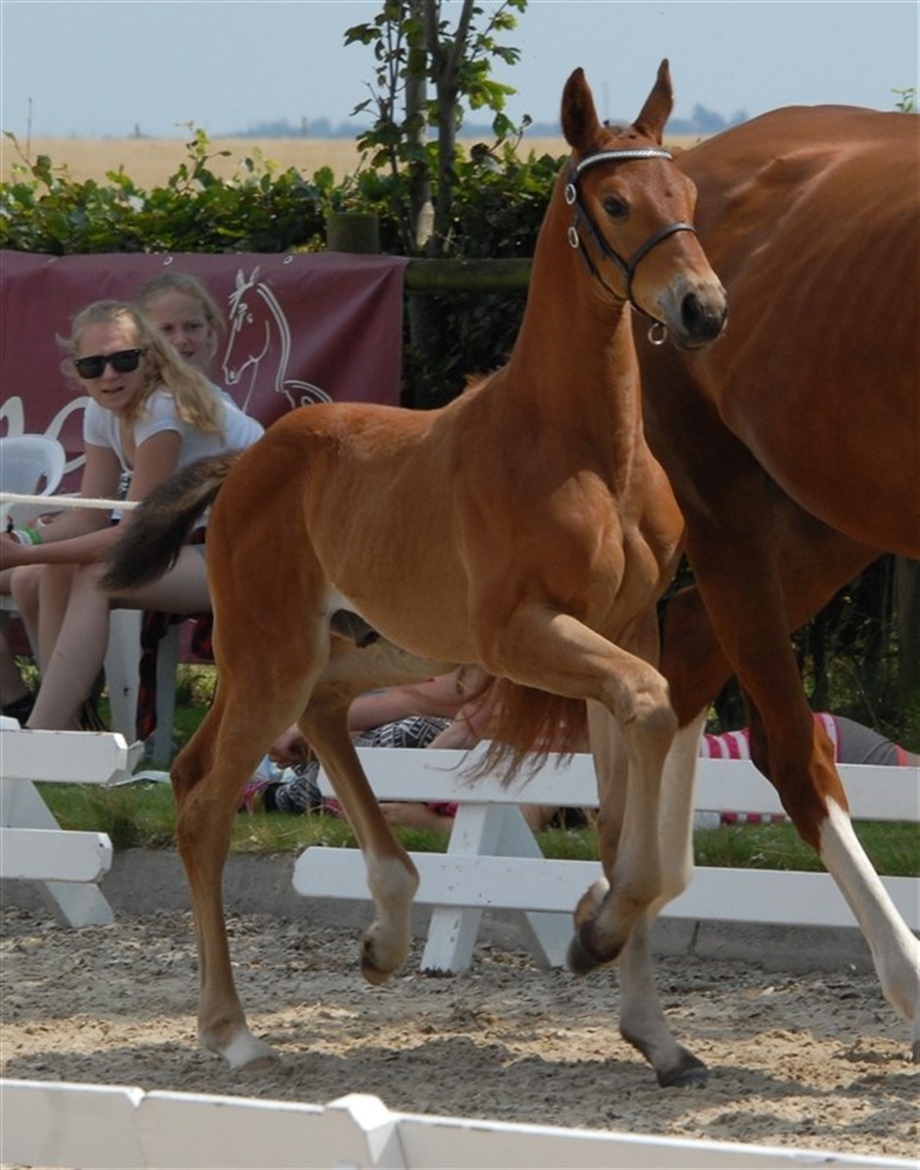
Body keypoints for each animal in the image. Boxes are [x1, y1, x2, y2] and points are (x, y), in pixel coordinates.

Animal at [104, 62, 727, 1085]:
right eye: (616, 202)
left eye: (689, 197)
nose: (702, 310)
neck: (584, 448)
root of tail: (250, 459)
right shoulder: (527, 634)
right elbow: (647, 722)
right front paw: (594, 935)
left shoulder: (628, 628)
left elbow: (619, 810)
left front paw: (656, 1033)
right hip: (274, 652)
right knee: (202, 803)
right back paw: (231, 1031)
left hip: (382, 647)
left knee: (309, 724)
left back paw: (385, 934)